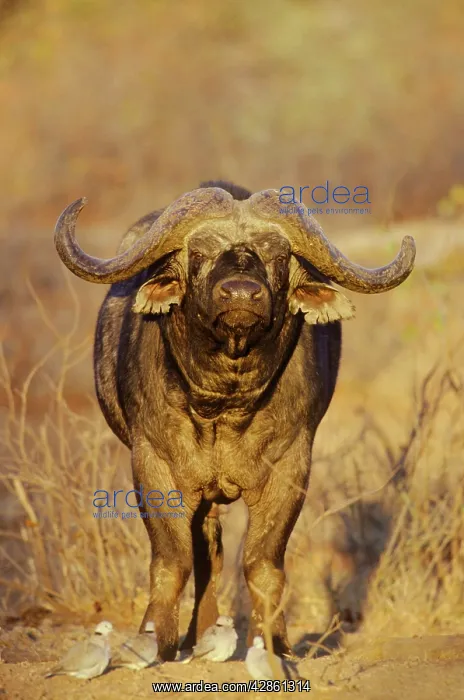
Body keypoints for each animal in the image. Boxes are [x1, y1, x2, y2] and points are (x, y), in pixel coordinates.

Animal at [54, 181, 415, 660]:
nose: (242, 294)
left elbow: (262, 562)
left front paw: (273, 643)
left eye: (277, 256)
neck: (224, 402)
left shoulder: (291, 468)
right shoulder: (152, 465)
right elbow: (173, 559)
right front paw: (155, 639)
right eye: (201, 252)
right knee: (206, 549)